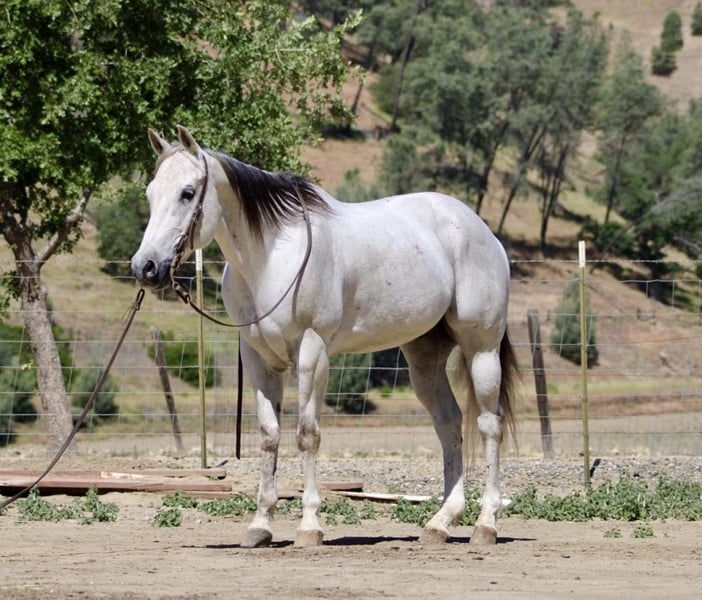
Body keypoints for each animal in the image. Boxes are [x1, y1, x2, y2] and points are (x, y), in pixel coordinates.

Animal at [131, 125, 518, 548]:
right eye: (150, 193)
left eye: (187, 193)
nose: (145, 267)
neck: (271, 257)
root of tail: (484, 232)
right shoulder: (258, 358)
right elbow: (269, 436)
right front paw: (260, 525)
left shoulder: (311, 352)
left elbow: (307, 435)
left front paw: (309, 526)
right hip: (424, 358)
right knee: (449, 424)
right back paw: (440, 523)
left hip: (481, 349)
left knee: (489, 424)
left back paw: (486, 524)